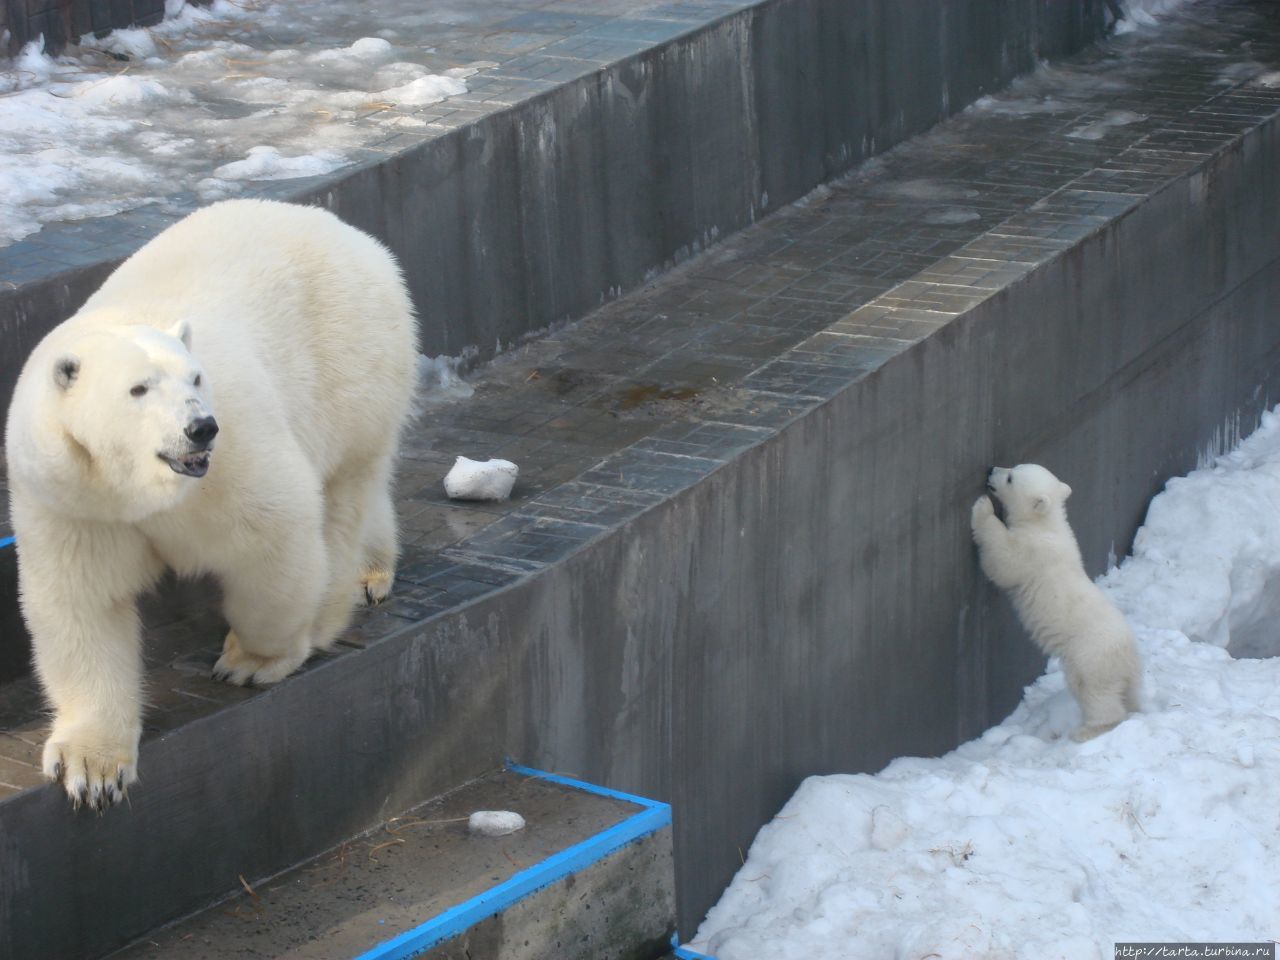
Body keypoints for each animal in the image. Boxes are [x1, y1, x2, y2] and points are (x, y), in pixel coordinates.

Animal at [7, 199, 417, 808]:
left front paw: (250, 659)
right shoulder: (73, 500)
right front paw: (92, 768)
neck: (136, 490)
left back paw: (346, 592)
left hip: (351, 365)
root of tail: (353, 236)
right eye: (138, 388)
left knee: (343, 493)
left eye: (196, 377)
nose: (200, 428)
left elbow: (274, 537)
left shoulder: (233, 459)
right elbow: (83, 602)